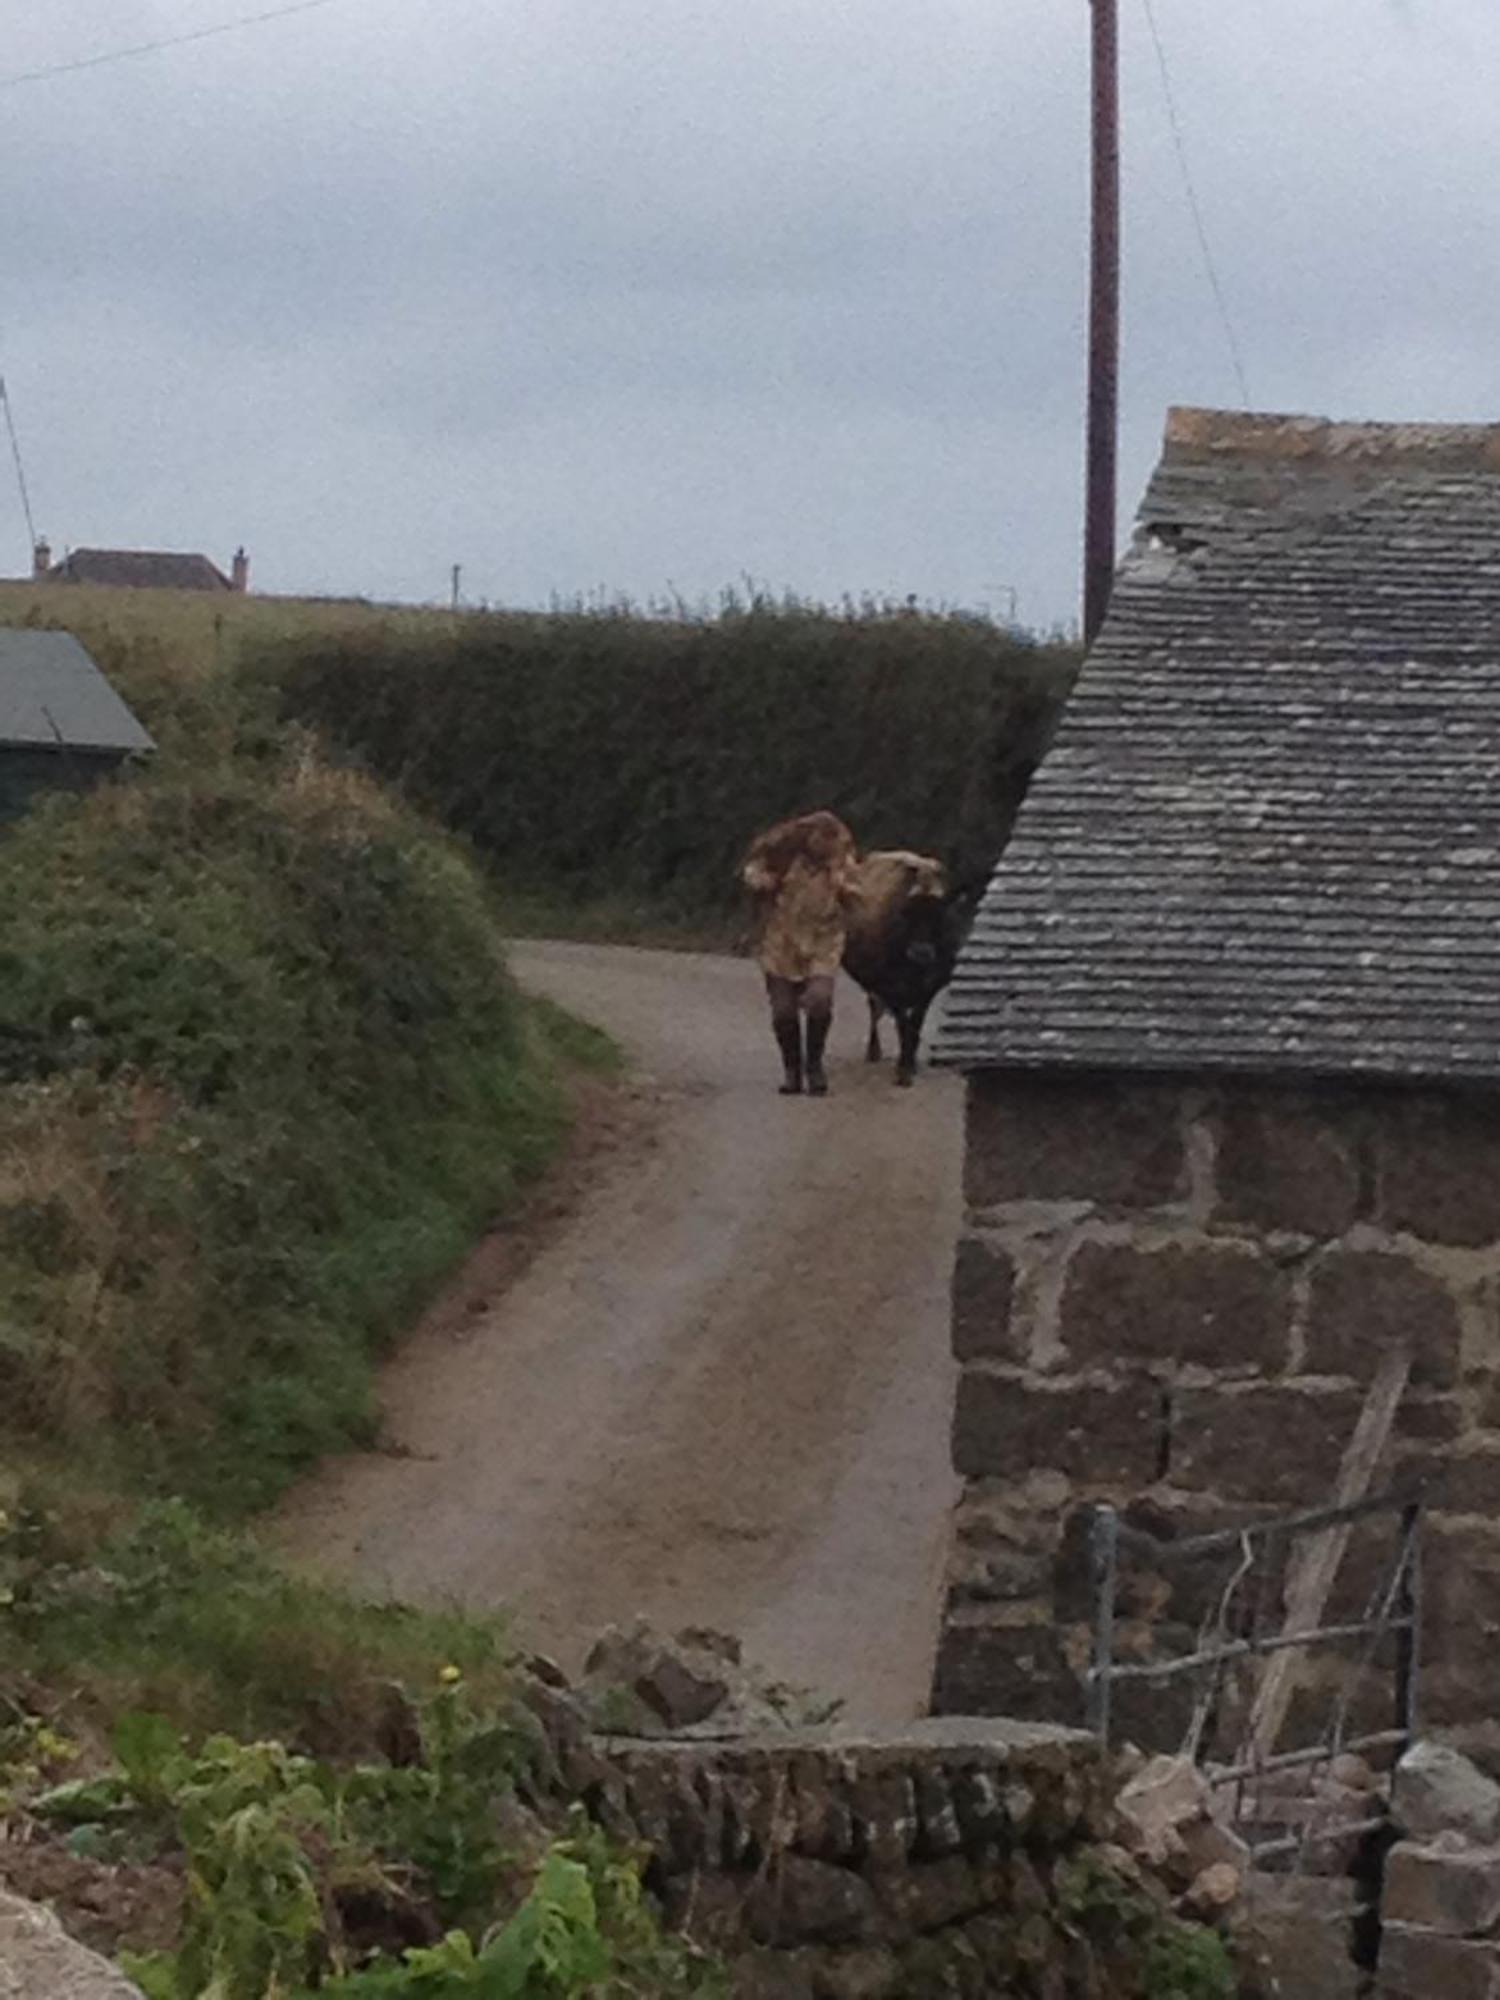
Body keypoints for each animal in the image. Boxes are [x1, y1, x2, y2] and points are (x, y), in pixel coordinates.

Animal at [848, 848, 976, 1088]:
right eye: (905, 912)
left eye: (940, 914)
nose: (921, 952)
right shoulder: (890, 986)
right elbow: (902, 1025)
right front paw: (903, 1069)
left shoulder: (930, 988)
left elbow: (915, 1023)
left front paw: (911, 1063)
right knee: (873, 1008)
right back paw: (873, 1051)